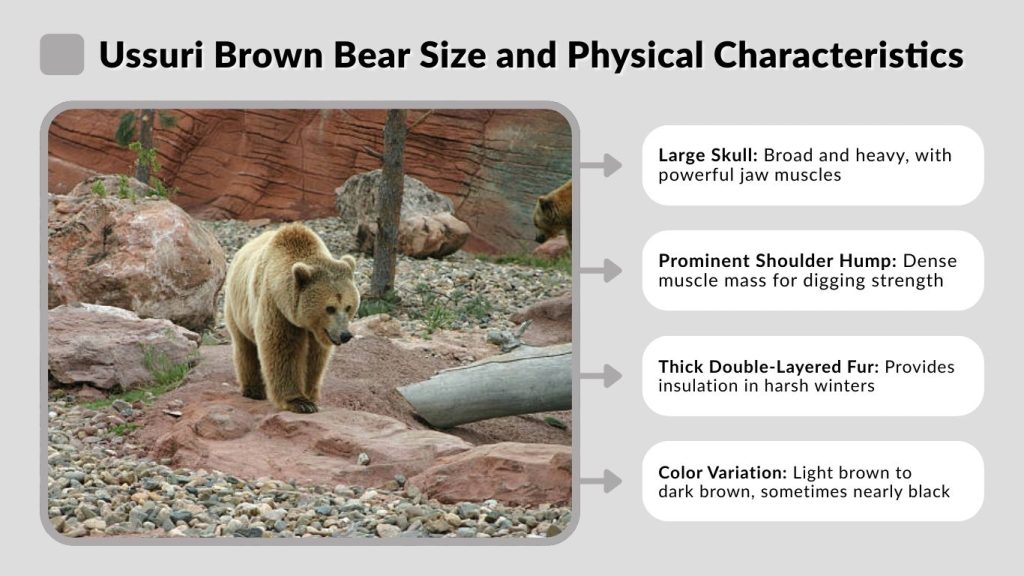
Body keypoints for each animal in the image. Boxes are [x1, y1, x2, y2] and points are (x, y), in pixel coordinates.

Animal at [223, 223, 361, 414]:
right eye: (330, 308)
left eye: (348, 306)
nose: (345, 335)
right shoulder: (276, 307)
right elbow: (283, 348)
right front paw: (299, 402)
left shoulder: (316, 332)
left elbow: (315, 357)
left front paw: (310, 394)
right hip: (237, 308)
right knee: (244, 346)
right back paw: (253, 390)